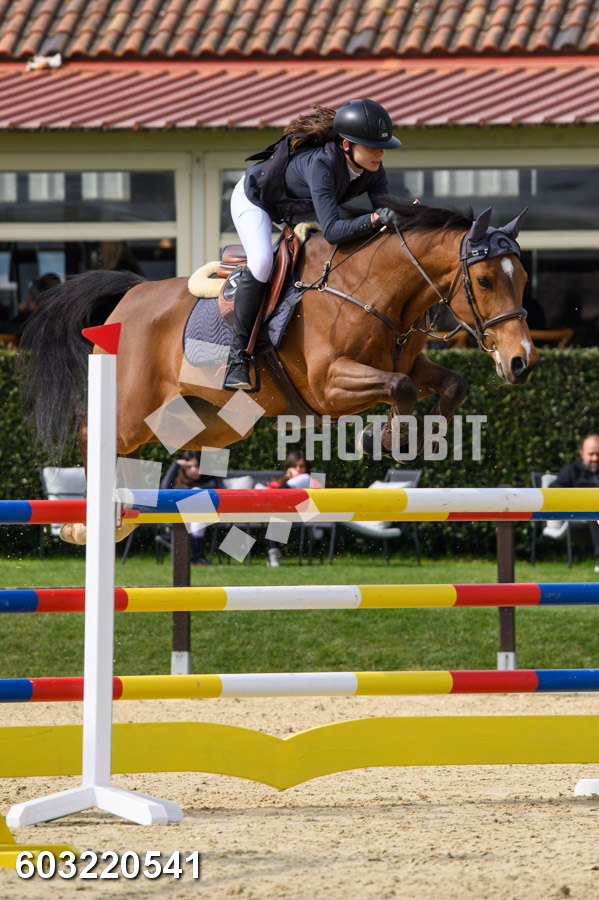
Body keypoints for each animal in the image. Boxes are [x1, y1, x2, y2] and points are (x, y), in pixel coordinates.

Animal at [19, 200, 538, 545]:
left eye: (524, 279)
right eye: (485, 279)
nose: (521, 362)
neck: (373, 287)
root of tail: (130, 295)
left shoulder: (411, 363)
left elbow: (449, 383)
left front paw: (417, 439)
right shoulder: (329, 384)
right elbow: (401, 387)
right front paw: (382, 438)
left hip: (205, 421)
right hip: (133, 407)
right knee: (93, 430)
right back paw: (89, 523)